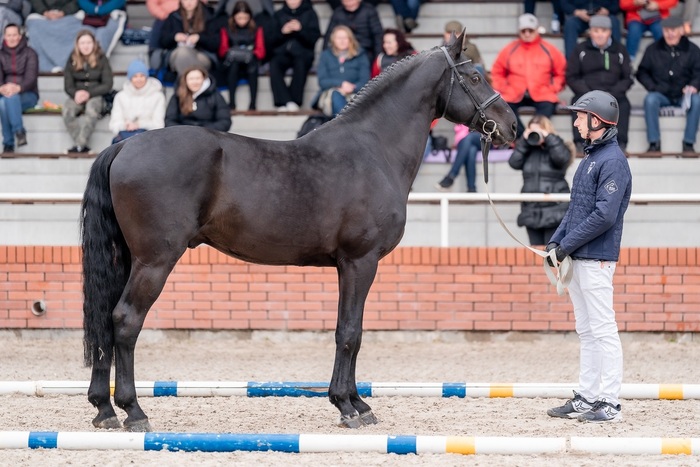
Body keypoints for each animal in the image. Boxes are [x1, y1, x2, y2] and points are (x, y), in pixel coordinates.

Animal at [80, 33, 517, 432]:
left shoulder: (347, 266)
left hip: (127, 259)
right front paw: (348, 406)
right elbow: (350, 332)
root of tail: (124, 147)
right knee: (125, 321)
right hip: (155, 261)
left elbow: (351, 330)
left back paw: (104, 409)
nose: (513, 126)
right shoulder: (360, 262)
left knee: (104, 319)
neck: (374, 149)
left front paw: (356, 402)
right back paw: (134, 411)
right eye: (475, 76)